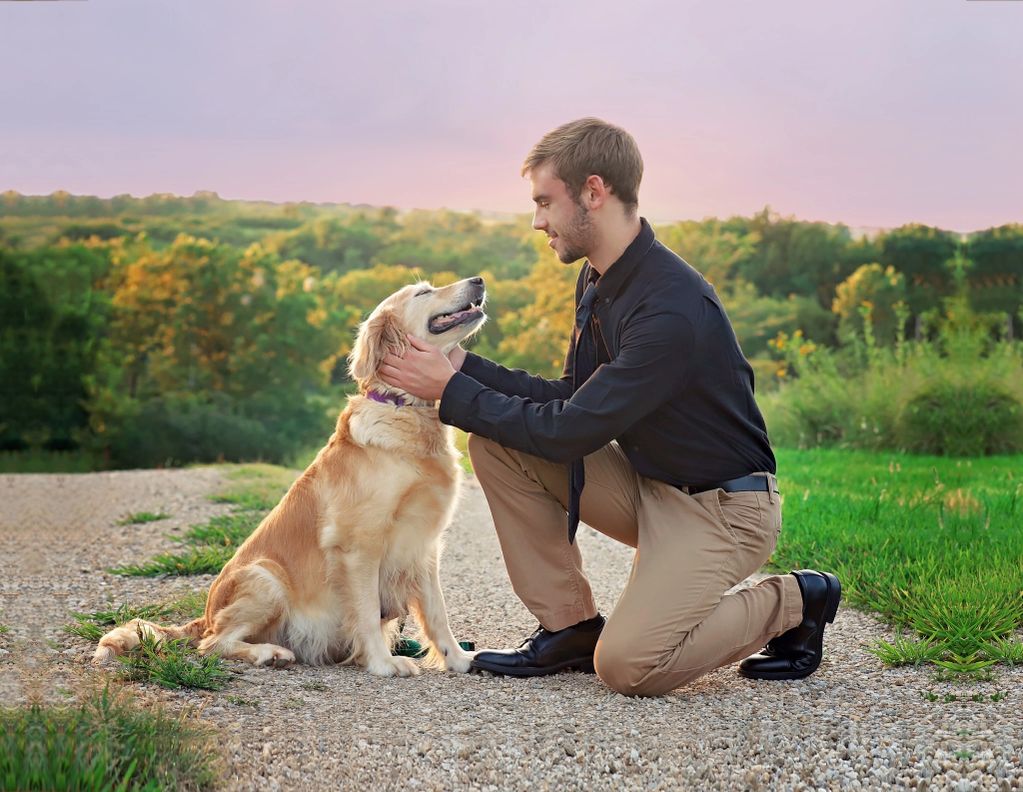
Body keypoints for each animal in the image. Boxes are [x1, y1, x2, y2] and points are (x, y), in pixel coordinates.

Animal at [93, 278, 486, 675]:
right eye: (423, 292)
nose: (479, 280)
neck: (406, 410)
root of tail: (204, 616)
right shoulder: (359, 544)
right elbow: (366, 611)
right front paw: (382, 662)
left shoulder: (425, 545)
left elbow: (437, 614)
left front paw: (459, 658)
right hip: (267, 578)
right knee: (212, 644)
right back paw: (269, 653)